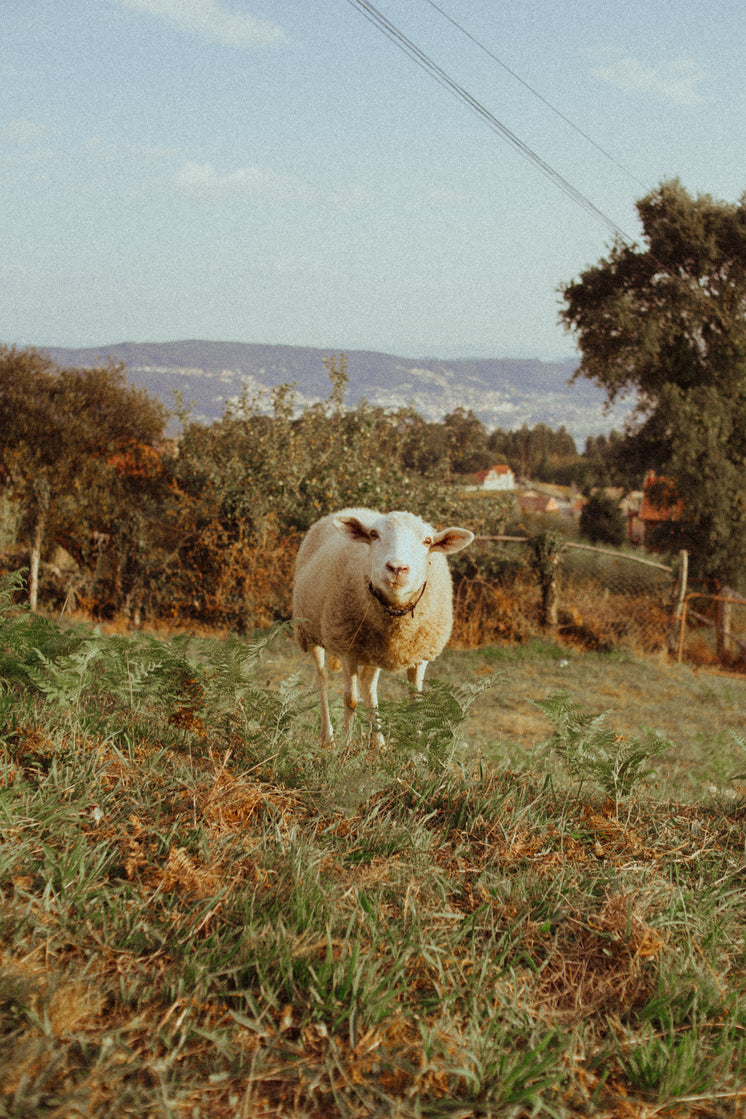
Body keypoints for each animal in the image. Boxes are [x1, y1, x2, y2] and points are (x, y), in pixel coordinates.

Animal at [290, 512, 471, 747]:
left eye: (427, 541)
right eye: (374, 535)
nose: (397, 568)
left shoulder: (420, 654)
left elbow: (417, 704)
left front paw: (417, 752)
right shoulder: (348, 647)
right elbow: (350, 700)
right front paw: (345, 748)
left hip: (374, 650)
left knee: (368, 685)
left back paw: (379, 744)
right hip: (310, 632)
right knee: (322, 680)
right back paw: (328, 738)